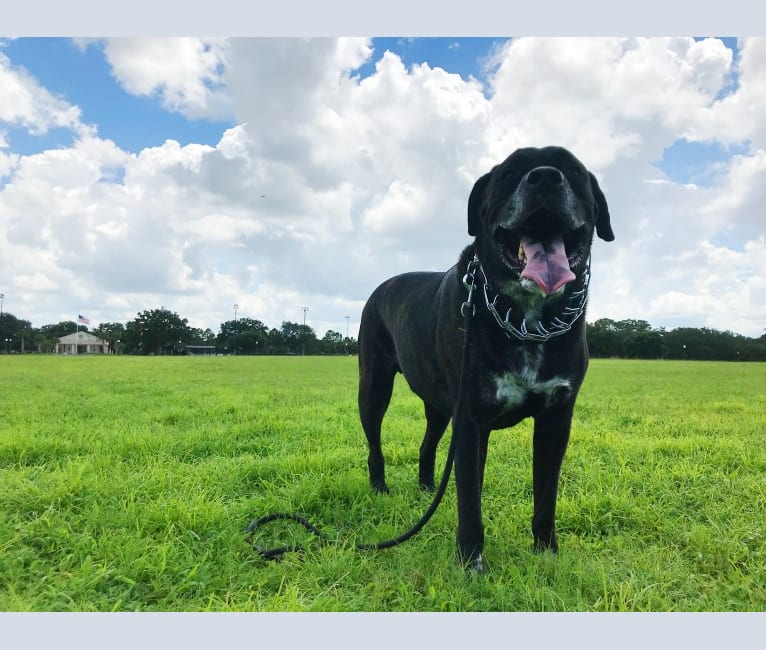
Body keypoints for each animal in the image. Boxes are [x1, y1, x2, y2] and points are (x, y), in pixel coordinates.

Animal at [356, 146, 616, 568]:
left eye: (573, 170)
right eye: (509, 173)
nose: (546, 177)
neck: (527, 319)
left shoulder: (556, 419)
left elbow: (545, 496)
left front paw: (546, 553)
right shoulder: (471, 420)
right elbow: (469, 497)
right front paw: (471, 560)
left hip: (438, 406)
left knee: (427, 445)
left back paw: (428, 488)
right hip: (374, 386)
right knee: (374, 442)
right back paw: (380, 486)